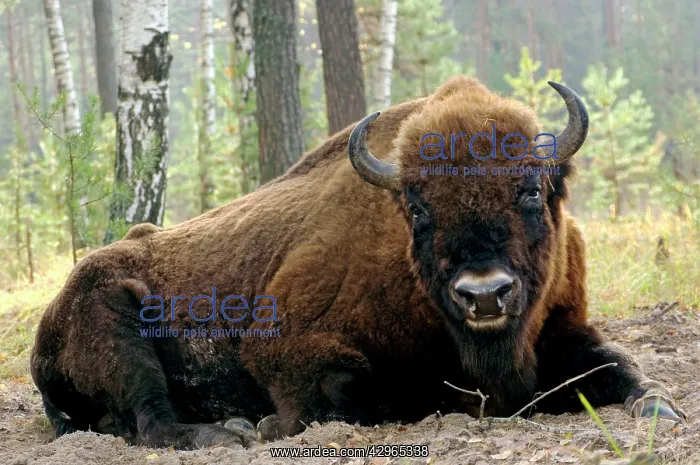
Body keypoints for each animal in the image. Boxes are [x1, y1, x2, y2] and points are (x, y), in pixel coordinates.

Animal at [30, 76, 685, 450]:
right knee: (150, 418)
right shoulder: (286, 347)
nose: (484, 294)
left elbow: (620, 366)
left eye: (530, 189)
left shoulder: (564, 329)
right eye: (417, 207)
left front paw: (661, 406)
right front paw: (269, 426)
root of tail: (49, 321)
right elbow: (350, 393)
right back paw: (228, 432)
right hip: (118, 325)